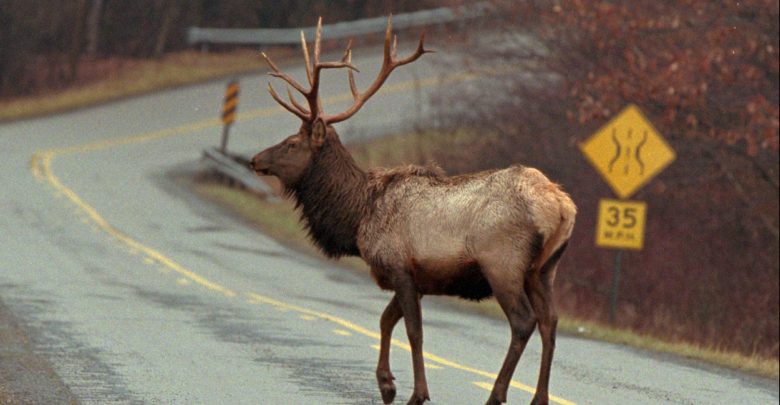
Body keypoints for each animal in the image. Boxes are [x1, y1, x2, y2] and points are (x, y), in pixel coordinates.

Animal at [253, 15, 576, 404]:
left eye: (291, 143)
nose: (254, 159)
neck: (359, 217)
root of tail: (561, 206)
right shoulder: (416, 278)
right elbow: (384, 320)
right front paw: (386, 384)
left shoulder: (399, 266)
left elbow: (413, 331)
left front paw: (414, 393)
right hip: (545, 270)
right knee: (550, 322)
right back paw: (539, 397)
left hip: (503, 262)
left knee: (523, 321)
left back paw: (496, 394)